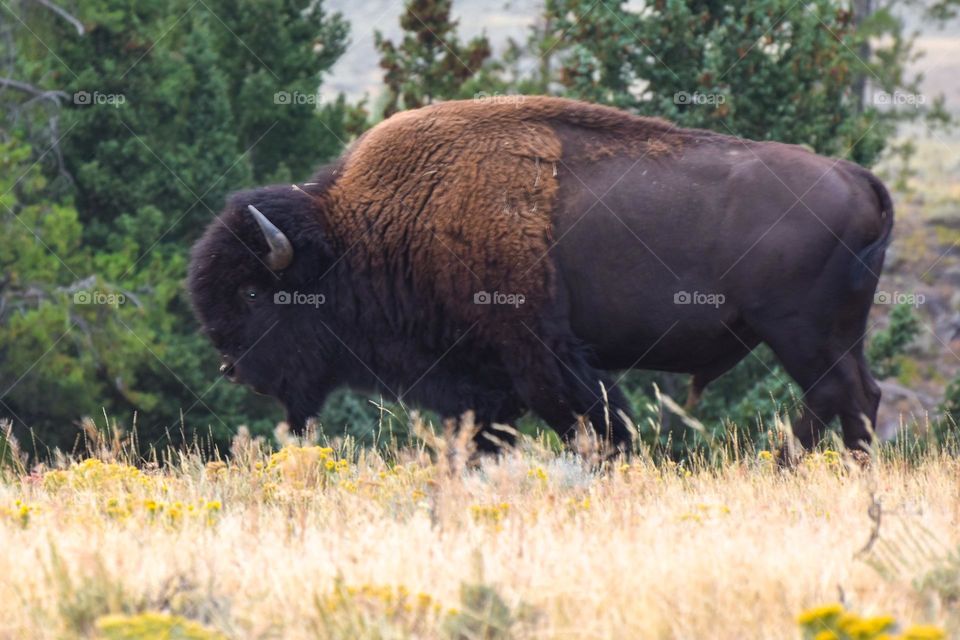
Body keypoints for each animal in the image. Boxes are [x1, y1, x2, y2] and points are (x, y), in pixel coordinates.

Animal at [188, 96, 892, 455]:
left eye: (252, 291)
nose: (233, 369)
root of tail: (858, 177)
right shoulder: (482, 382)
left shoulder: (540, 356)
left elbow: (598, 424)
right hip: (835, 336)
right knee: (857, 397)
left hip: (800, 334)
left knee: (837, 397)